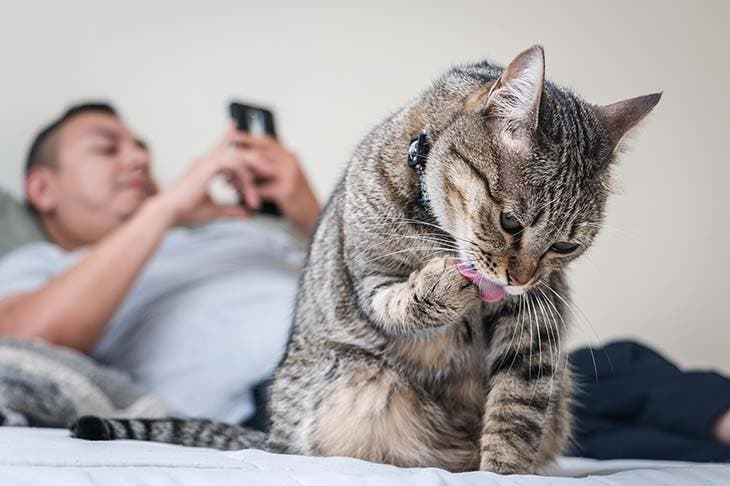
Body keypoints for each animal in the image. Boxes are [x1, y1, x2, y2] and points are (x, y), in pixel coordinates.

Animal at [72, 46, 660, 474]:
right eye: (511, 222)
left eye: (565, 246)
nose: (519, 279)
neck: (437, 227)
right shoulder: (370, 280)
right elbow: (403, 302)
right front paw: (443, 285)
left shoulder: (535, 323)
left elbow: (516, 411)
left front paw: (501, 472)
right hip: (357, 382)